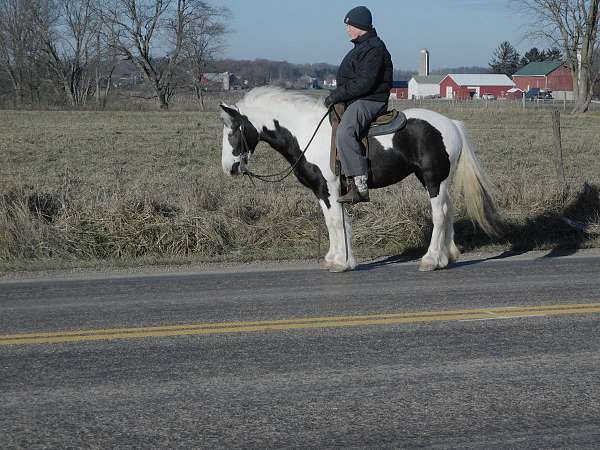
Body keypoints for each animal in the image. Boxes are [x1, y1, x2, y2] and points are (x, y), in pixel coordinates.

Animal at [218, 86, 500, 272]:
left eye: (232, 131)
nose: (229, 168)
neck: (305, 131)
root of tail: (451, 124)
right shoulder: (324, 190)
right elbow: (336, 222)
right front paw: (336, 258)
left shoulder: (328, 188)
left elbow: (335, 222)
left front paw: (341, 263)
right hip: (440, 182)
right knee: (449, 211)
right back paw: (448, 256)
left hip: (433, 180)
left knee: (440, 214)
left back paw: (431, 260)